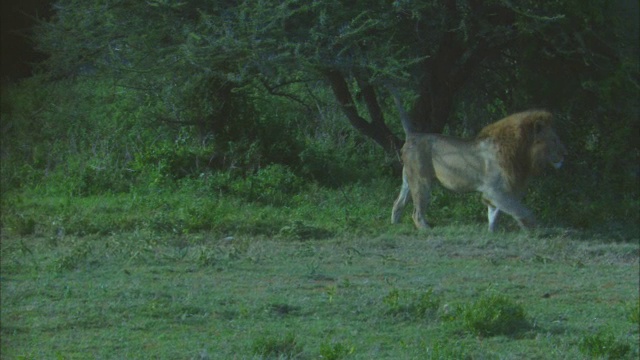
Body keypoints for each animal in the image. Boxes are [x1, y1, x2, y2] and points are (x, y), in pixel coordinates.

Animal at [392, 109, 568, 232]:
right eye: (554, 140)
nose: (565, 154)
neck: (522, 153)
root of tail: (412, 135)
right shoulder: (495, 190)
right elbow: (520, 210)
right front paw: (536, 229)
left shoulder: (498, 191)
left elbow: (494, 213)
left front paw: (492, 232)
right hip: (421, 182)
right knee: (416, 213)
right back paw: (426, 229)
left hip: (408, 180)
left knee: (398, 203)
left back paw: (395, 225)